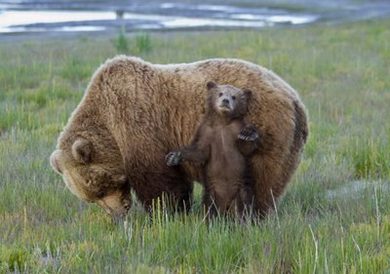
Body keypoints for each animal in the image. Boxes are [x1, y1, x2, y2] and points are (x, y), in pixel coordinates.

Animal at [165, 80, 258, 217]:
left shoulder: (235, 129)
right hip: (212, 191)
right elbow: (200, 152)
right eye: (220, 93)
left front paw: (248, 133)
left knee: (244, 207)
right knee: (209, 207)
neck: (223, 122)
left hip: (241, 188)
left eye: (234, 96)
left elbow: (246, 148)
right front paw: (173, 157)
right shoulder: (206, 132)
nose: (225, 101)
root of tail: (226, 205)